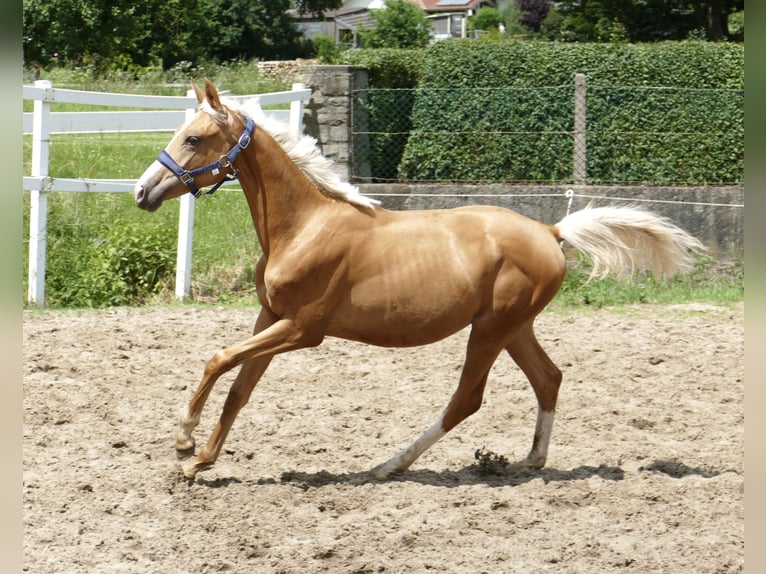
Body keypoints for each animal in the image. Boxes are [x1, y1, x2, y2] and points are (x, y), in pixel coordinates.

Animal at [136, 77, 704, 482]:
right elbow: (239, 388)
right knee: (548, 378)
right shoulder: (270, 316)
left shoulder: (303, 329)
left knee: (467, 399)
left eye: (193, 138)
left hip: (491, 329)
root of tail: (551, 230)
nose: (143, 191)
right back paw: (529, 462)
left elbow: (218, 359)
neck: (303, 226)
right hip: (513, 327)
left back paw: (388, 466)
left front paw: (184, 440)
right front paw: (198, 462)